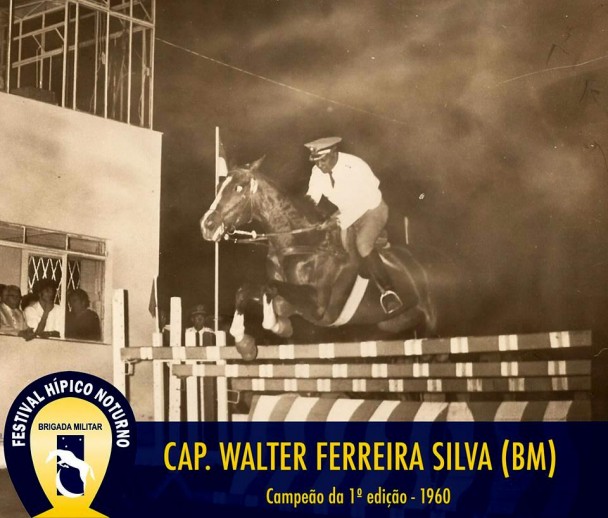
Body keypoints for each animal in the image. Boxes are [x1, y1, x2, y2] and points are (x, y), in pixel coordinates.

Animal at [201, 158, 436, 362]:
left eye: (238, 188)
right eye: (219, 186)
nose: (207, 225)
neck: (298, 241)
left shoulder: (317, 305)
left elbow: (270, 286)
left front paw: (273, 324)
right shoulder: (293, 303)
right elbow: (247, 290)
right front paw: (248, 342)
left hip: (430, 320)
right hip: (394, 323)